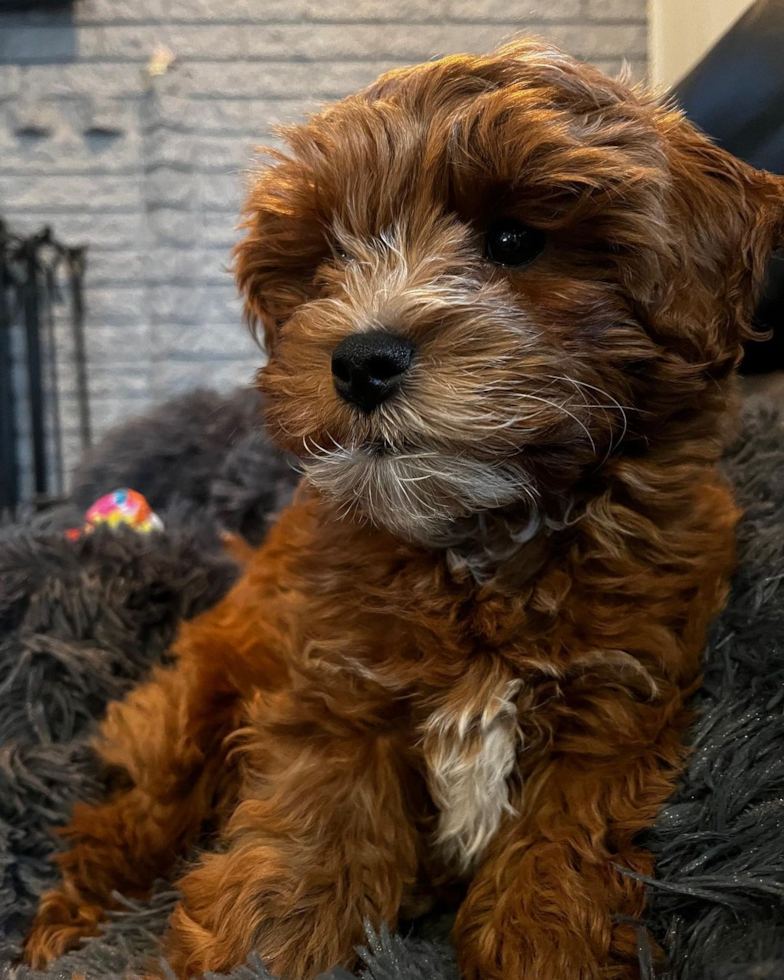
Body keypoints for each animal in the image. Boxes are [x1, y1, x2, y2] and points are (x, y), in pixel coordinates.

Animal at [24, 38, 784, 980]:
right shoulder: (332, 688)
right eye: (327, 258)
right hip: (196, 701)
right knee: (129, 814)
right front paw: (261, 944)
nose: (360, 359)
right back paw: (66, 921)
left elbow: (560, 844)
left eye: (513, 240)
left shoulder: (619, 696)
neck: (483, 539)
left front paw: (547, 941)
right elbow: (311, 830)